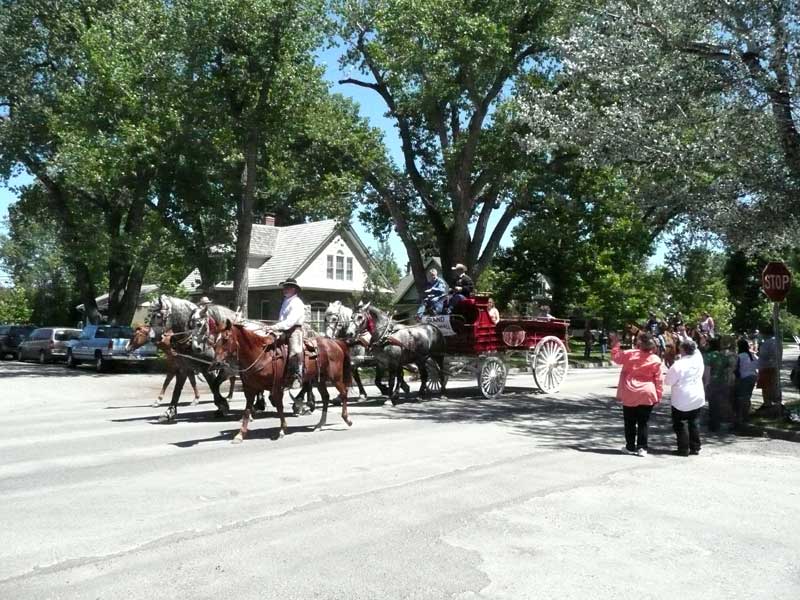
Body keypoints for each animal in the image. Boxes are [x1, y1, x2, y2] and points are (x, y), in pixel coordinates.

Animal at [211, 322, 352, 442]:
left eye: (226, 338)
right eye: (214, 340)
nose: (216, 363)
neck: (261, 355)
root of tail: (335, 342)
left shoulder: (276, 387)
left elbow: (279, 407)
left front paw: (282, 430)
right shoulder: (250, 389)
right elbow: (247, 411)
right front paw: (240, 435)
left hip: (335, 377)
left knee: (344, 393)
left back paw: (347, 419)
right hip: (320, 380)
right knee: (325, 397)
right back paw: (319, 424)